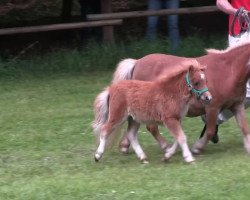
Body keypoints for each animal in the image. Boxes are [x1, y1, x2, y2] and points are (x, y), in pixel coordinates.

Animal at [114, 41, 250, 155]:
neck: (228, 70)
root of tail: (137, 62)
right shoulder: (212, 107)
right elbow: (210, 131)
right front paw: (197, 148)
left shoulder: (237, 105)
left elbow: (244, 128)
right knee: (151, 127)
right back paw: (166, 148)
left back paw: (125, 145)